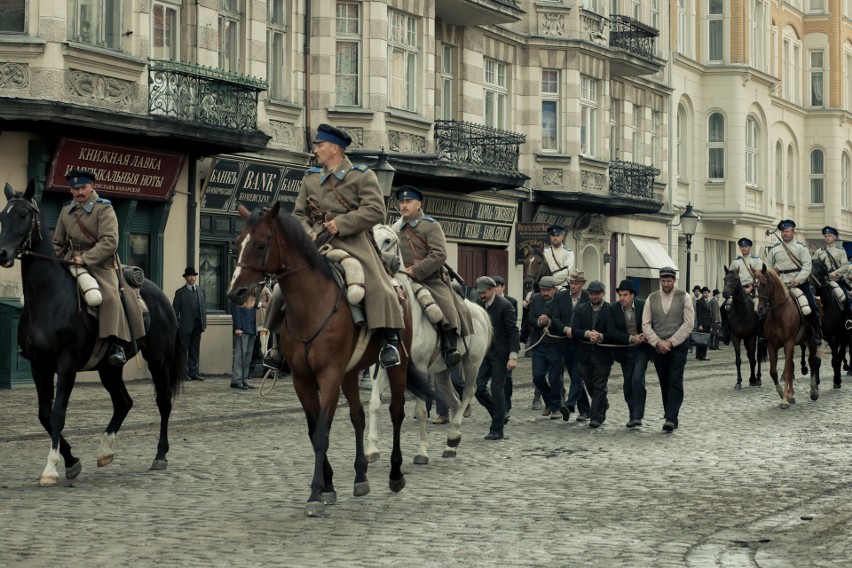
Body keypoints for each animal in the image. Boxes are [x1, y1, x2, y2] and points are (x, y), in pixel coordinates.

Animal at [0, 184, 186, 486]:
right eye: (2, 216)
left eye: (24, 214)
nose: (3, 254)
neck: (49, 297)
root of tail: (159, 294)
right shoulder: (39, 366)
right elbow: (44, 414)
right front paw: (71, 461)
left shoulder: (66, 365)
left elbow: (57, 414)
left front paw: (51, 467)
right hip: (108, 368)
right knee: (123, 402)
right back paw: (104, 450)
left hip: (158, 360)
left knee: (163, 401)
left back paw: (160, 455)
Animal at [226, 202, 432, 516]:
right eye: (238, 243)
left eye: (261, 244)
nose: (236, 292)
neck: (311, 304)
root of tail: (397, 285)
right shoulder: (303, 379)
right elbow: (314, 431)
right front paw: (329, 486)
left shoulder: (329, 375)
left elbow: (322, 432)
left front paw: (315, 494)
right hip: (350, 373)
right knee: (358, 417)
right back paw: (360, 477)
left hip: (397, 366)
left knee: (396, 411)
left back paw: (396, 475)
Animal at [366, 224, 492, 464]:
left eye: (388, 240)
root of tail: (478, 310)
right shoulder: (379, 367)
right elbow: (374, 404)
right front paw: (371, 450)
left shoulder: (421, 367)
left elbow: (422, 410)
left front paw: (422, 452)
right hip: (442, 372)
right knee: (454, 400)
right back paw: (452, 443)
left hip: (472, 363)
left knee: (468, 393)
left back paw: (452, 436)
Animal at [752, 266, 820, 408]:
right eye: (753, 285)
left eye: (764, 284)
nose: (757, 309)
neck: (779, 313)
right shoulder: (772, 345)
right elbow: (774, 371)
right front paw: (782, 394)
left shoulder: (788, 343)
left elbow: (787, 371)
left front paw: (784, 400)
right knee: (793, 365)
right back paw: (792, 395)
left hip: (811, 343)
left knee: (811, 362)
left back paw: (813, 391)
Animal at [808, 258, 848, 388]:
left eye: (819, 272)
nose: (810, 287)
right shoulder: (816, 337)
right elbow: (816, 360)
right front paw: (816, 381)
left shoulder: (833, 337)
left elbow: (835, 359)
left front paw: (837, 380)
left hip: (844, 335)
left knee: (840, 355)